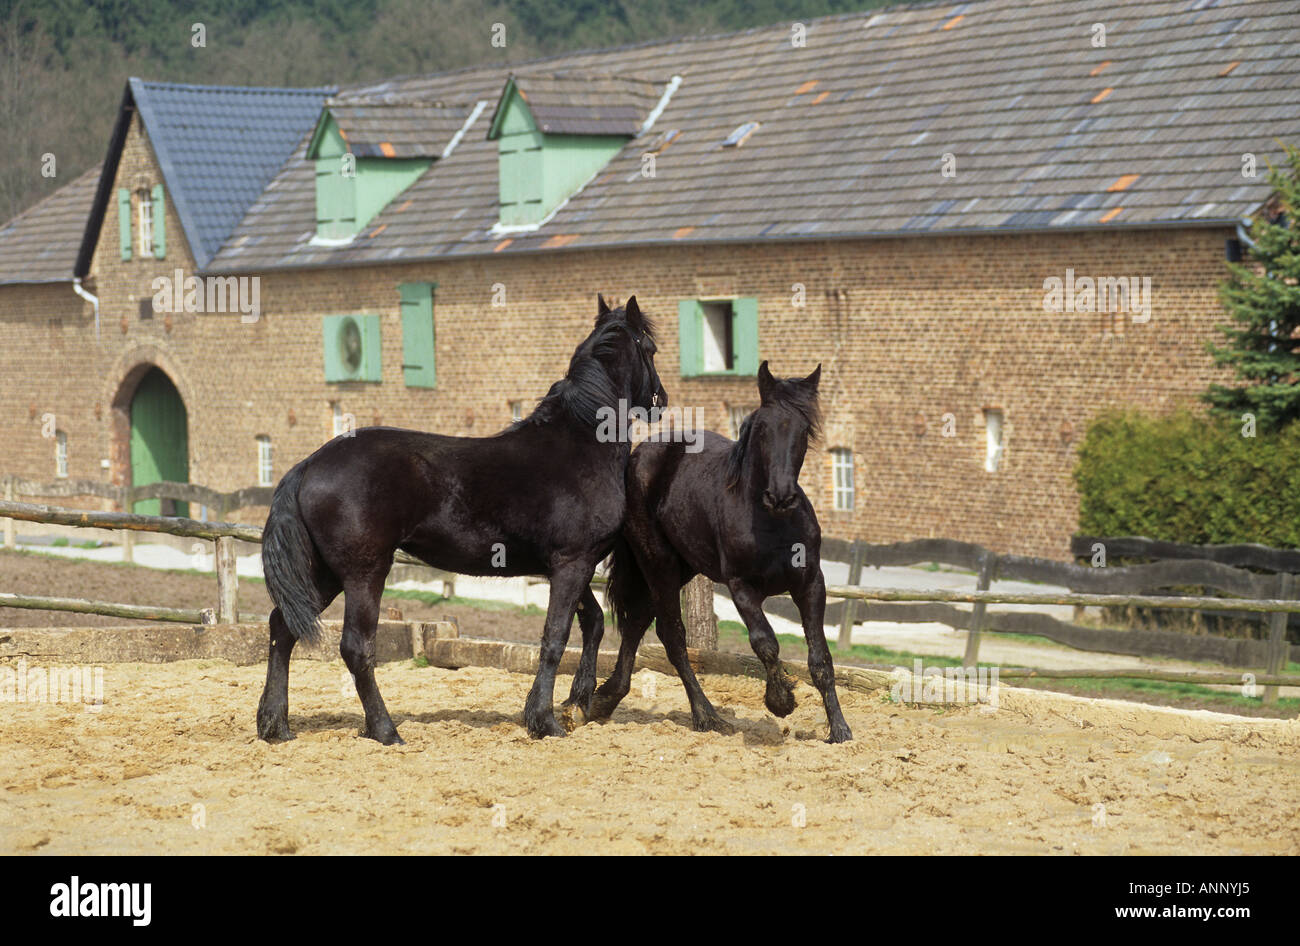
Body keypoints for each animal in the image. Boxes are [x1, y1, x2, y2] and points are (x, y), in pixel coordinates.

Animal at [254, 298, 665, 743]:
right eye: (650, 349)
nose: (660, 401)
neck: (581, 442)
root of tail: (309, 465)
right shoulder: (572, 563)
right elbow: (555, 638)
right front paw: (545, 720)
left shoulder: (570, 565)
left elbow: (592, 624)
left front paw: (577, 704)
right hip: (364, 574)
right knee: (355, 647)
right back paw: (385, 730)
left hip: (326, 574)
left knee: (282, 629)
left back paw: (276, 725)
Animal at [587, 366, 852, 743]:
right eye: (762, 429)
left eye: (803, 430)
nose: (781, 496)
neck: (773, 524)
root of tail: (639, 455)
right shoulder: (741, 587)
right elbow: (765, 642)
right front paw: (780, 701)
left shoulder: (811, 583)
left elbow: (821, 659)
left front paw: (839, 730)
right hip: (658, 563)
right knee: (671, 636)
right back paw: (706, 716)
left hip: (680, 568)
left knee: (638, 621)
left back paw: (604, 700)